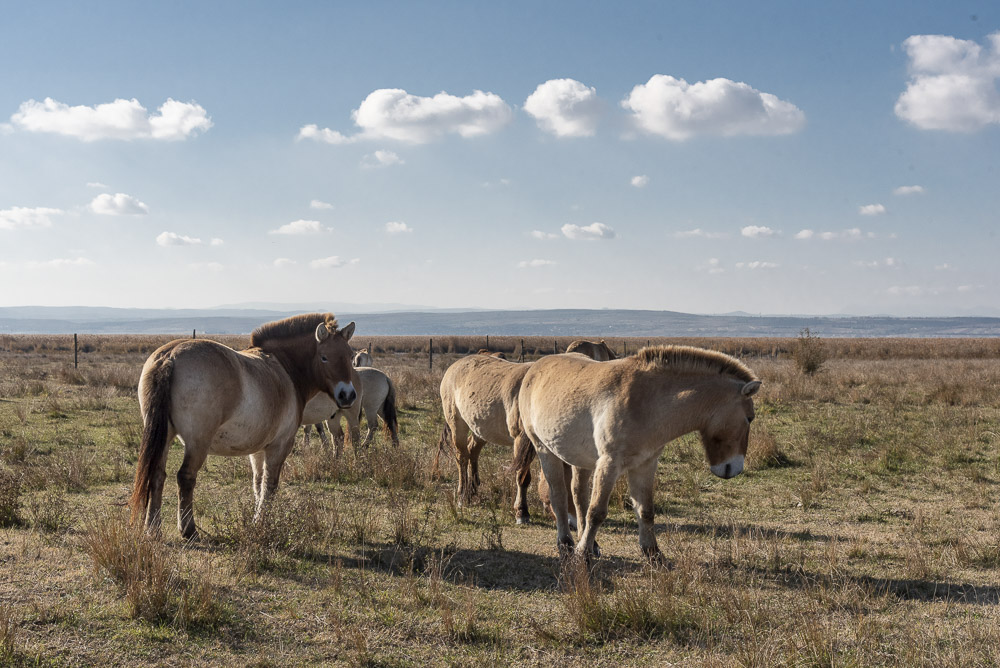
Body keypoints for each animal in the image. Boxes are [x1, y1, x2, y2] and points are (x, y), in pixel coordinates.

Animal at [129, 314, 356, 536]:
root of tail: (170, 356)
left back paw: (153, 529)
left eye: (349, 356)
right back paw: (188, 530)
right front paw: (263, 522)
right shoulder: (280, 445)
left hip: (165, 437)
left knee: (157, 475)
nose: (348, 395)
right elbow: (270, 485)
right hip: (197, 443)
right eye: (324, 357)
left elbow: (258, 483)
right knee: (185, 477)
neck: (284, 368)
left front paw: (257, 519)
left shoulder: (258, 449)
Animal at [512, 344, 760, 560]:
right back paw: (566, 544)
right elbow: (597, 511)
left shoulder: (645, 464)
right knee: (559, 497)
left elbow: (645, 510)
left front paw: (653, 554)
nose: (734, 468)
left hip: (580, 459)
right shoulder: (609, 464)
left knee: (578, 495)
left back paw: (590, 543)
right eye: (750, 418)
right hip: (545, 451)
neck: (647, 401)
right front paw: (582, 556)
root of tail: (533, 369)